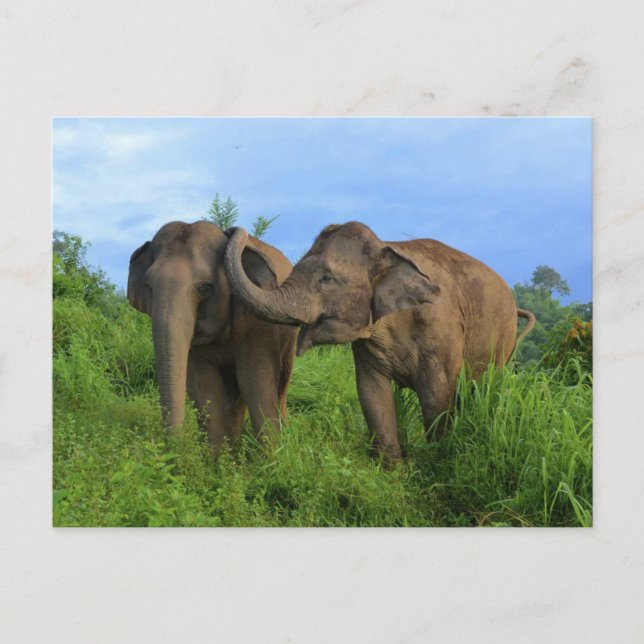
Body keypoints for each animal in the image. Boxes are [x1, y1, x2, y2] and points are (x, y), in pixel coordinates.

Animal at [128, 220, 297, 454]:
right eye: (149, 286)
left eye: (204, 287)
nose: (173, 449)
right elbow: (203, 385)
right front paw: (220, 461)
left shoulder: (260, 327)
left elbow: (255, 379)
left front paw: (273, 459)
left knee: (280, 385)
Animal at [224, 221, 536, 461]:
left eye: (327, 278)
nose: (232, 230)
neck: (389, 247)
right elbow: (372, 394)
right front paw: (393, 471)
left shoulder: (441, 331)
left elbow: (436, 397)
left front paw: (438, 462)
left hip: (503, 339)